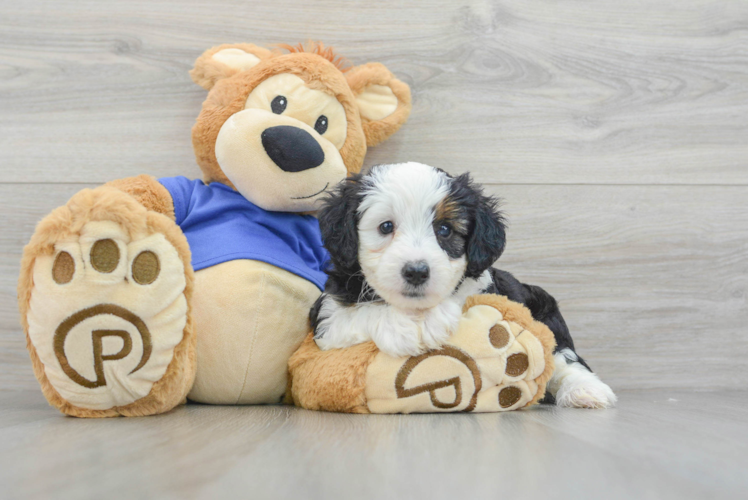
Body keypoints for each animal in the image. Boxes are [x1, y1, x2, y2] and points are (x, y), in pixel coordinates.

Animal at [312, 162, 616, 408]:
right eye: (386, 227)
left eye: (445, 230)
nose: (416, 271)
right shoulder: (326, 318)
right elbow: (356, 312)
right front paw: (409, 325)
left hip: (544, 309)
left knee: (563, 356)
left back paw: (586, 391)